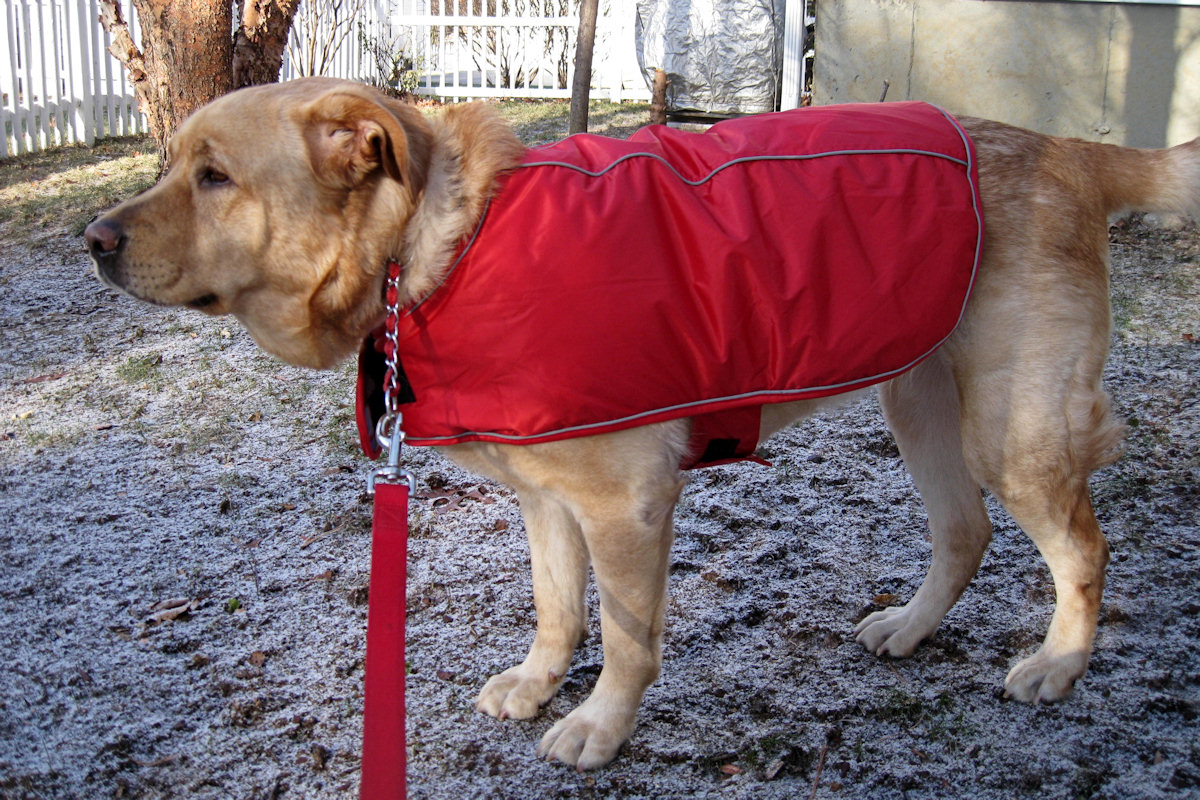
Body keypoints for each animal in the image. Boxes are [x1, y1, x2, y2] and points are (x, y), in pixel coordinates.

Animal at [87, 79, 1200, 767]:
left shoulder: (627, 503)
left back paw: (1061, 662)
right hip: (919, 398)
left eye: (215, 176)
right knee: (965, 532)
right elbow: (556, 609)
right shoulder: (546, 499)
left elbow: (625, 641)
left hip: (1013, 428)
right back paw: (914, 626)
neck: (431, 252)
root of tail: (1070, 149)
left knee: (1084, 547)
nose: (92, 238)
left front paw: (599, 727)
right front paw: (540, 683)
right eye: (168, 162)